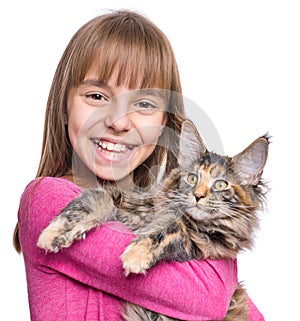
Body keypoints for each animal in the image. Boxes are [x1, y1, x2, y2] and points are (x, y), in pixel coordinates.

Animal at [37, 120, 270, 320]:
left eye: (221, 184)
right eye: (192, 178)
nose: (198, 195)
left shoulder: (202, 245)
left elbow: (171, 228)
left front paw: (136, 254)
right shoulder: (124, 201)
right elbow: (91, 201)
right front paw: (55, 233)